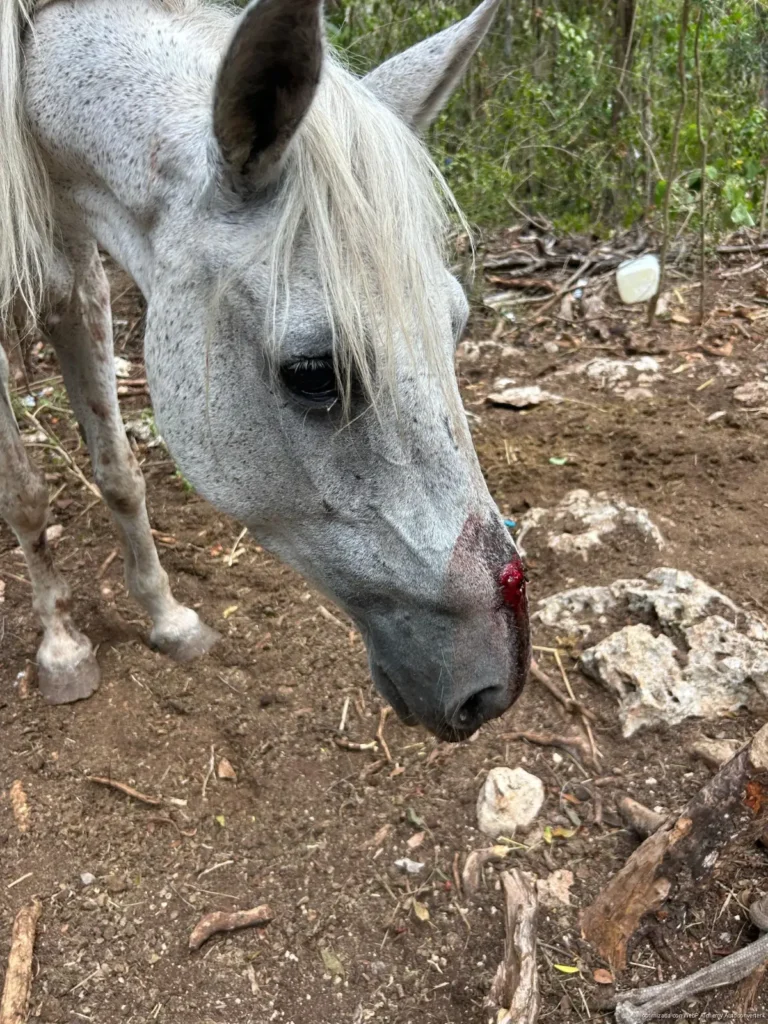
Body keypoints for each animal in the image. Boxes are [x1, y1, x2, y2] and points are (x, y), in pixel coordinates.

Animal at [0, 0, 529, 742]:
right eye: (312, 373)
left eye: (454, 325)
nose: (496, 686)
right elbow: (23, 494)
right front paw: (62, 647)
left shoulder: (77, 287)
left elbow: (119, 474)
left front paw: (168, 618)